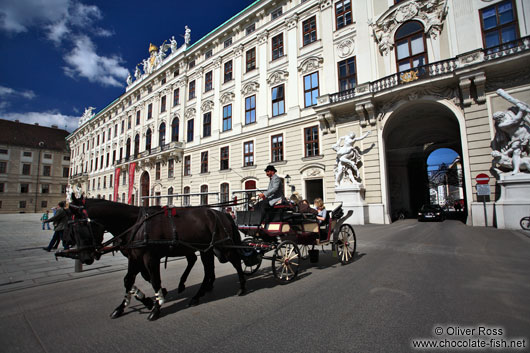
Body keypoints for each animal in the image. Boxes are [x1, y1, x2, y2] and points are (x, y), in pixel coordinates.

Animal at [62, 194, 245, 320]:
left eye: (79, 226)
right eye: (70, 228)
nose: (85, 257)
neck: (136, 224)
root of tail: (220, 213)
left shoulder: (150, 258)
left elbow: (155, 280)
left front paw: (156, 306)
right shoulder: (134, 258)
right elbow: (129, 280)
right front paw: (123, 307)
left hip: (223, 248)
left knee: (235, 262)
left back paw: (242, 287)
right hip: (206, 249)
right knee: (207, 270)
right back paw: (196, 295)